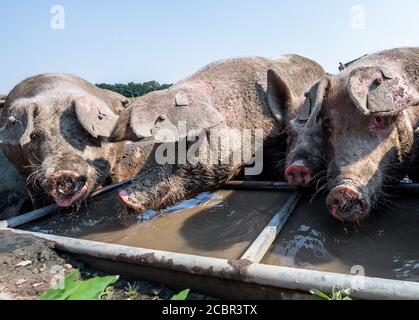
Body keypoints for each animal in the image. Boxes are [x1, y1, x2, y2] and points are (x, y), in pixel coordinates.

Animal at [0, 74, 153, 210]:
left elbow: (115, 178)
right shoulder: (22, 173)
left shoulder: (116, 162)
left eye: (81, 129)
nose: (62, 173)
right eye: (35, 135)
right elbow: (36, 198)